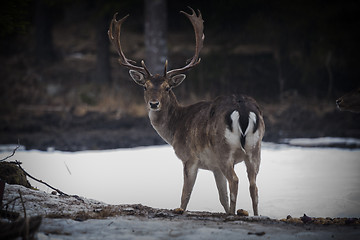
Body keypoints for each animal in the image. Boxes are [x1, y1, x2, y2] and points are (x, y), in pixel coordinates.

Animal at [107, 7, 264, 216]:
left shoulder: (189, 157)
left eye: (167, 88)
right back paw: (254, 214)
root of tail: (243, 110)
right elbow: (221, 197)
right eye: (145, 87)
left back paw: (234, 213)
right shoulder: (214, 167)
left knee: (236, 180)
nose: (154, 104)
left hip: (224, 149)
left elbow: (185, 195)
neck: (175, 129)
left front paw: (180, 210)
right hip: (255, 149)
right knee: (254, 186)